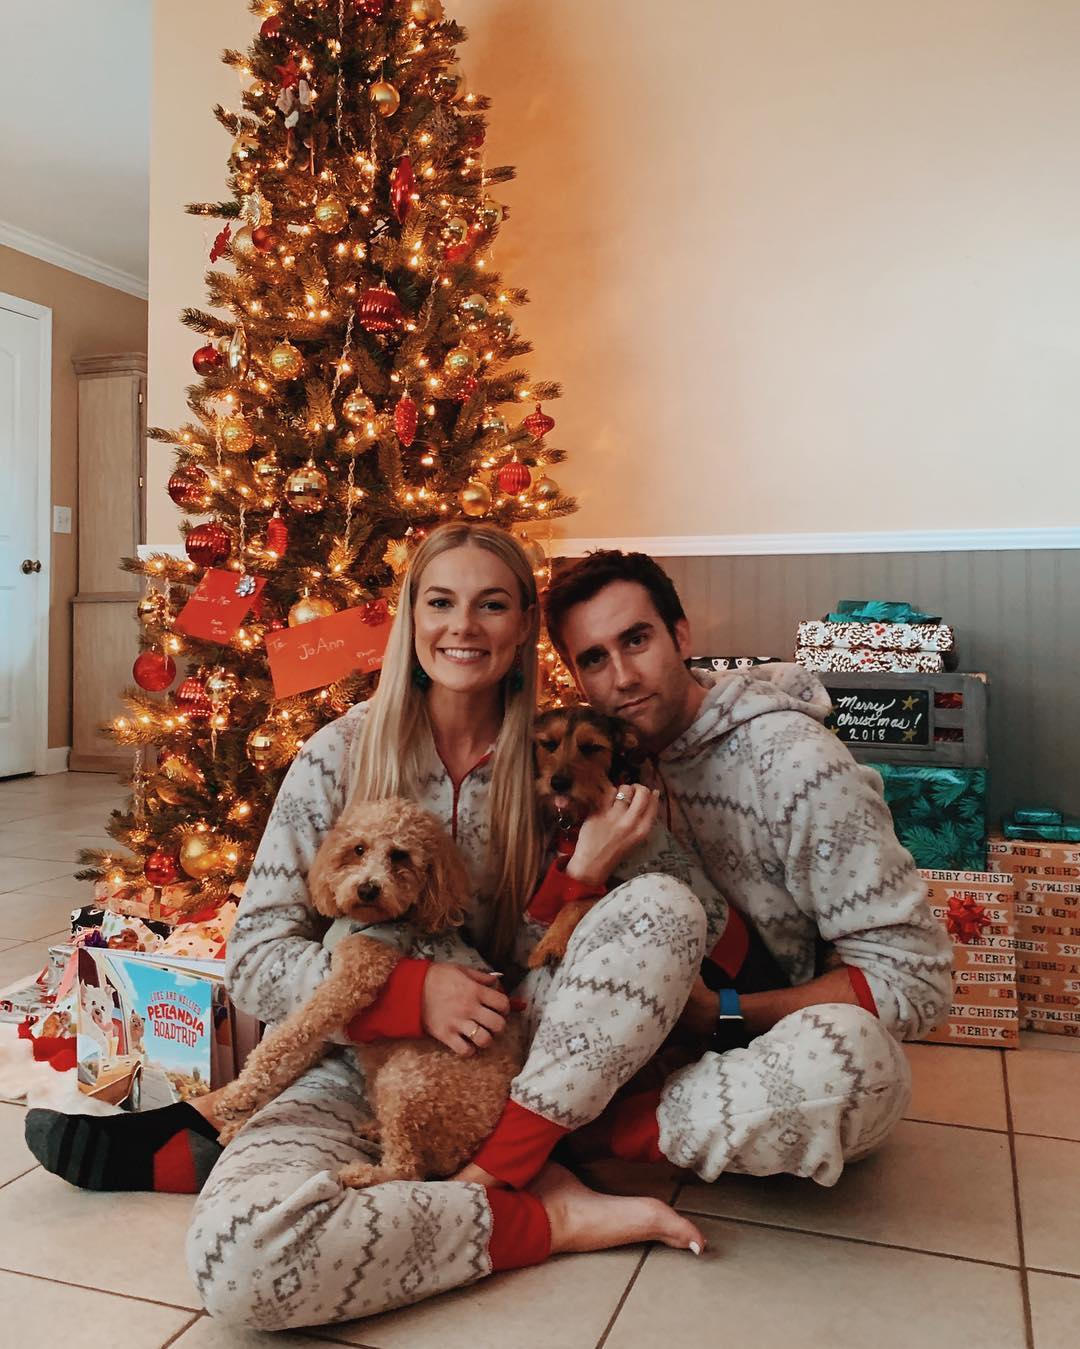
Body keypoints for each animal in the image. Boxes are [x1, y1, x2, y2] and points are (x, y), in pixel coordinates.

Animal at [214, 797, 526, 1188]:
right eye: (358, 849)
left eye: (401, 856)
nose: (367, 889)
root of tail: (467, 1147)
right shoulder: (330, 1022)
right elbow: (288, 1059)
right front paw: (241, 1115)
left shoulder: (351, 982)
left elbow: (282, 1038)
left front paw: (235, 1096)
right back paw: (374, 1130)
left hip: (406, 1079)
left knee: (408, 1169)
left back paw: (361, 1173)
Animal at [527, 705, 644, 968]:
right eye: (548, 744)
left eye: (592, 747)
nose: (558, 783)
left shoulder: (609, 881)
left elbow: (574, 902)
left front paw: (550, 944)